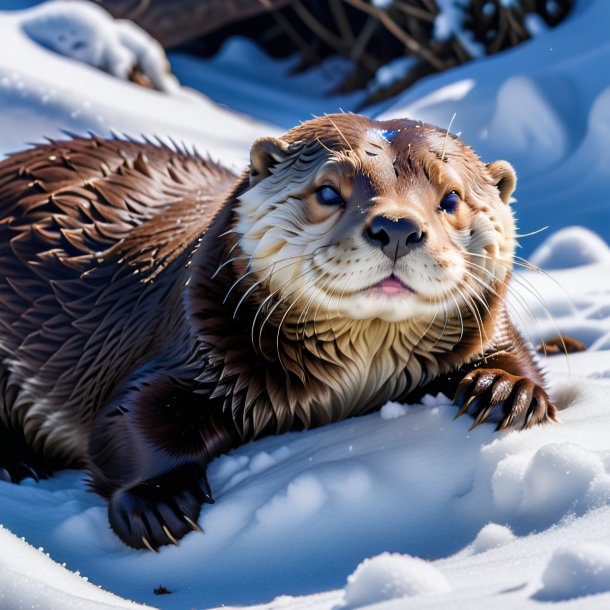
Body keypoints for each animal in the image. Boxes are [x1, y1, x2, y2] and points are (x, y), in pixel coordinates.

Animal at [0, 114, 552, 548]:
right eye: (329, 190)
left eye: (451, 197)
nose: (397, 227)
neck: (354, 385)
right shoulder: (196, 343)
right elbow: (131, 414)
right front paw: (157, 501)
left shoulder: (487, 328)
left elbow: (520, 360)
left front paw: (504, 390)